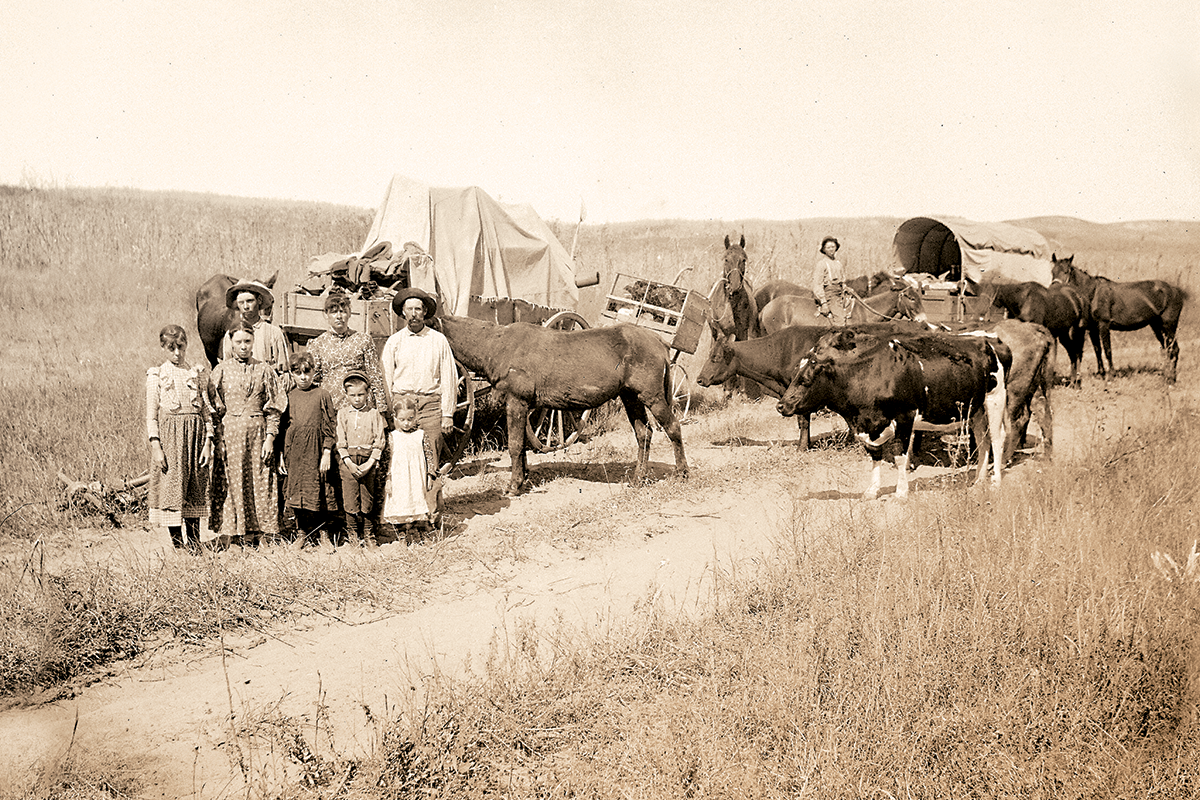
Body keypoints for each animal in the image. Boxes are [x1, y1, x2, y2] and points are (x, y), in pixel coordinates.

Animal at [434, 316, 686, 496]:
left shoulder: (516, 401)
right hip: (631, 397)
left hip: (652, 397)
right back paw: (638, 479)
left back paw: (682, 474)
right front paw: (523, 479)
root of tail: (658, 341)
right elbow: (522, 447)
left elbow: (515, 446)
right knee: (644, 434)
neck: (497, 344)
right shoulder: (522, 407)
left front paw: (514, 486)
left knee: (673, 428)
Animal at [1056, 255, 1185, 383]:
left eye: (1066, 271)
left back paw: (1171, 379)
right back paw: (1167, 376)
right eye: (1053, 271)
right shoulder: (1093, 329)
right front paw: (1101, 373)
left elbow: (1107, 350)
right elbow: (1097, 350)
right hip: (1156, 326)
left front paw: (1111, 376)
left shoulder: (1104, 325)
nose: (1055, 286)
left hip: (1169, 326)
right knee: (1167, 349)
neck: (1093, 293)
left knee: (1174, 349)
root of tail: (1176, 290)